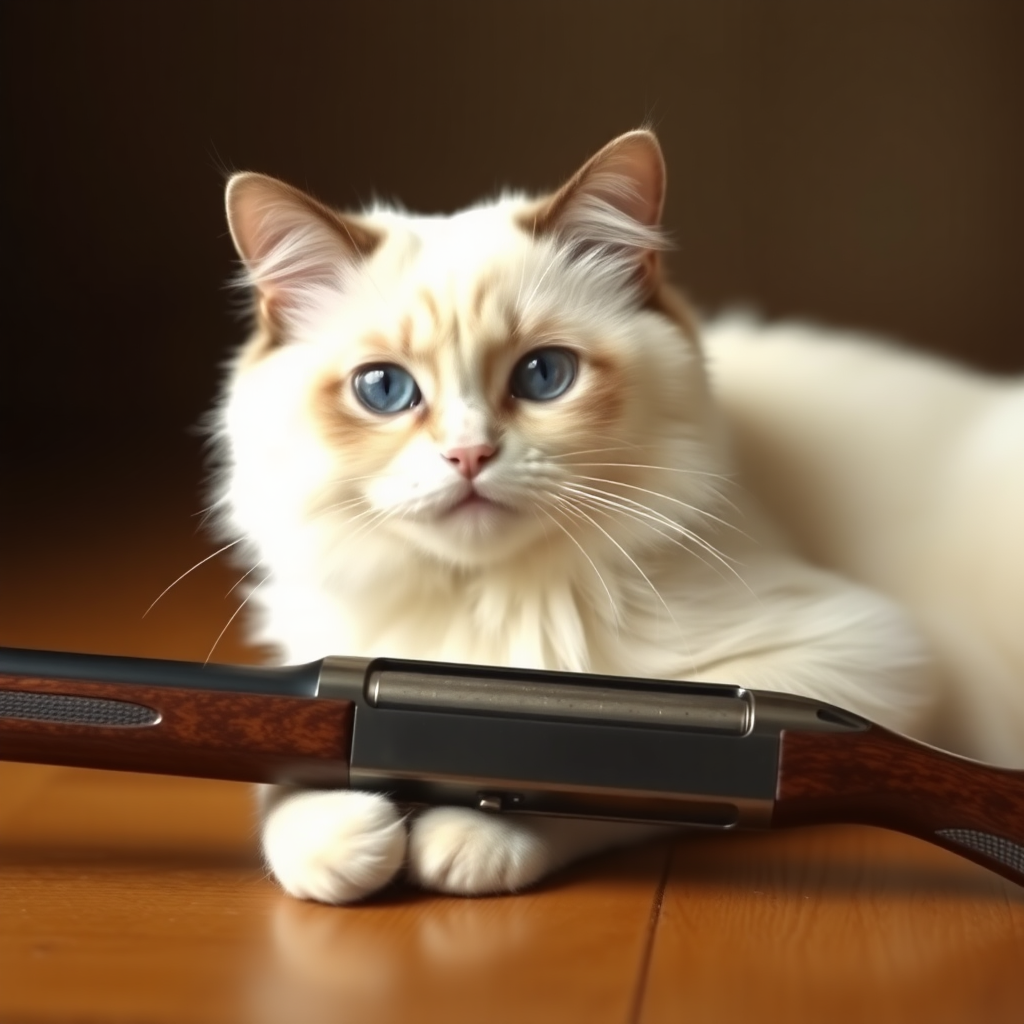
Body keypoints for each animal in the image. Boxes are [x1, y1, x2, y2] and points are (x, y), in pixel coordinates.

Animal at [209, 128, 1024, 905]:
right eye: (382, 389)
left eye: (544, 376)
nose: (468, 455)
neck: (482, 608)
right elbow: (278, 781)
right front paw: (338, 840)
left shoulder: (866, 656)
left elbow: (591, 788)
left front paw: (463, 837)